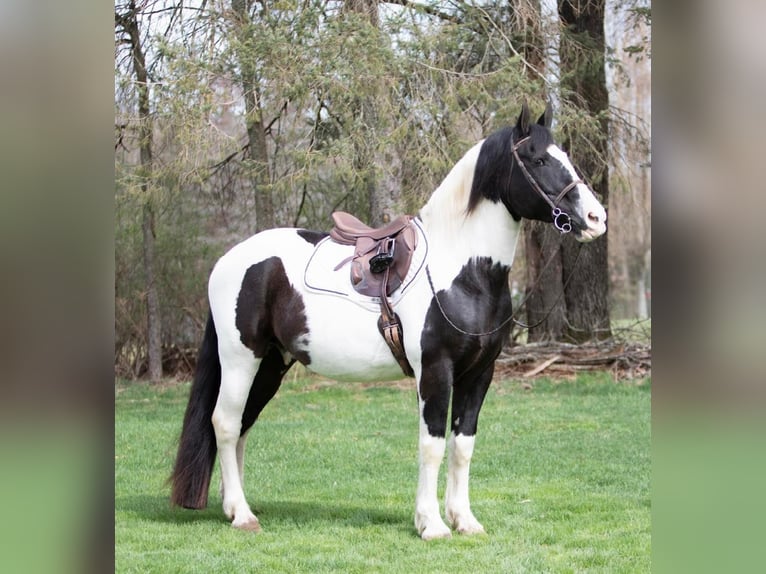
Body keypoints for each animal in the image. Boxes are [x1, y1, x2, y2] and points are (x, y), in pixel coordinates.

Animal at [171, 102, 608, 540]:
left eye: (566, 156)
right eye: (538, 159)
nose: (596, 218)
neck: (463, 271)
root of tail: (228, 259)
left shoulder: (480, 373)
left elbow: (462, 445)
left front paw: (464, 520)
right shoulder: (436, 371)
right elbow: (432, 445)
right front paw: (431, 524)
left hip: (272, 363)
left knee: (243, 426)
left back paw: (234, 507)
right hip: (240, 358)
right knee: (226, 423)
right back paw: (242, 514)